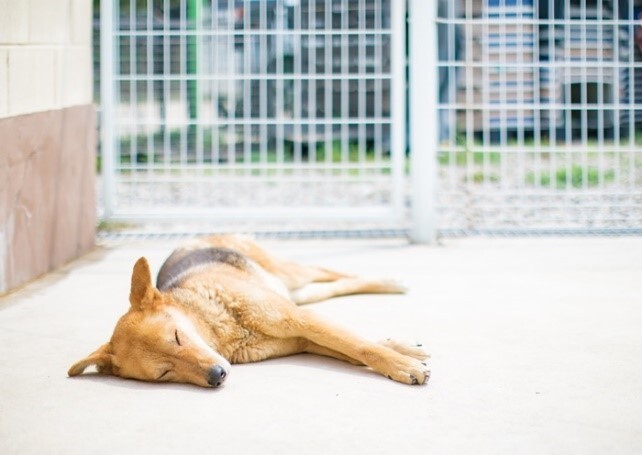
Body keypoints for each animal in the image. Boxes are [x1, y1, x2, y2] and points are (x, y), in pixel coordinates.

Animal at [67, 235, 428, 388]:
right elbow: (355, 346)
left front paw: (402, 364)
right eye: (164, 373)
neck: (220, 324)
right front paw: (403, 352)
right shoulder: (303, 338)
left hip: (290, 274)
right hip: (297, 290)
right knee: (331, 286)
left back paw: (389, 282)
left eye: (177, 337)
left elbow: (362, 345)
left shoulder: (299, 319)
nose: (217, 376)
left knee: (330, 272)